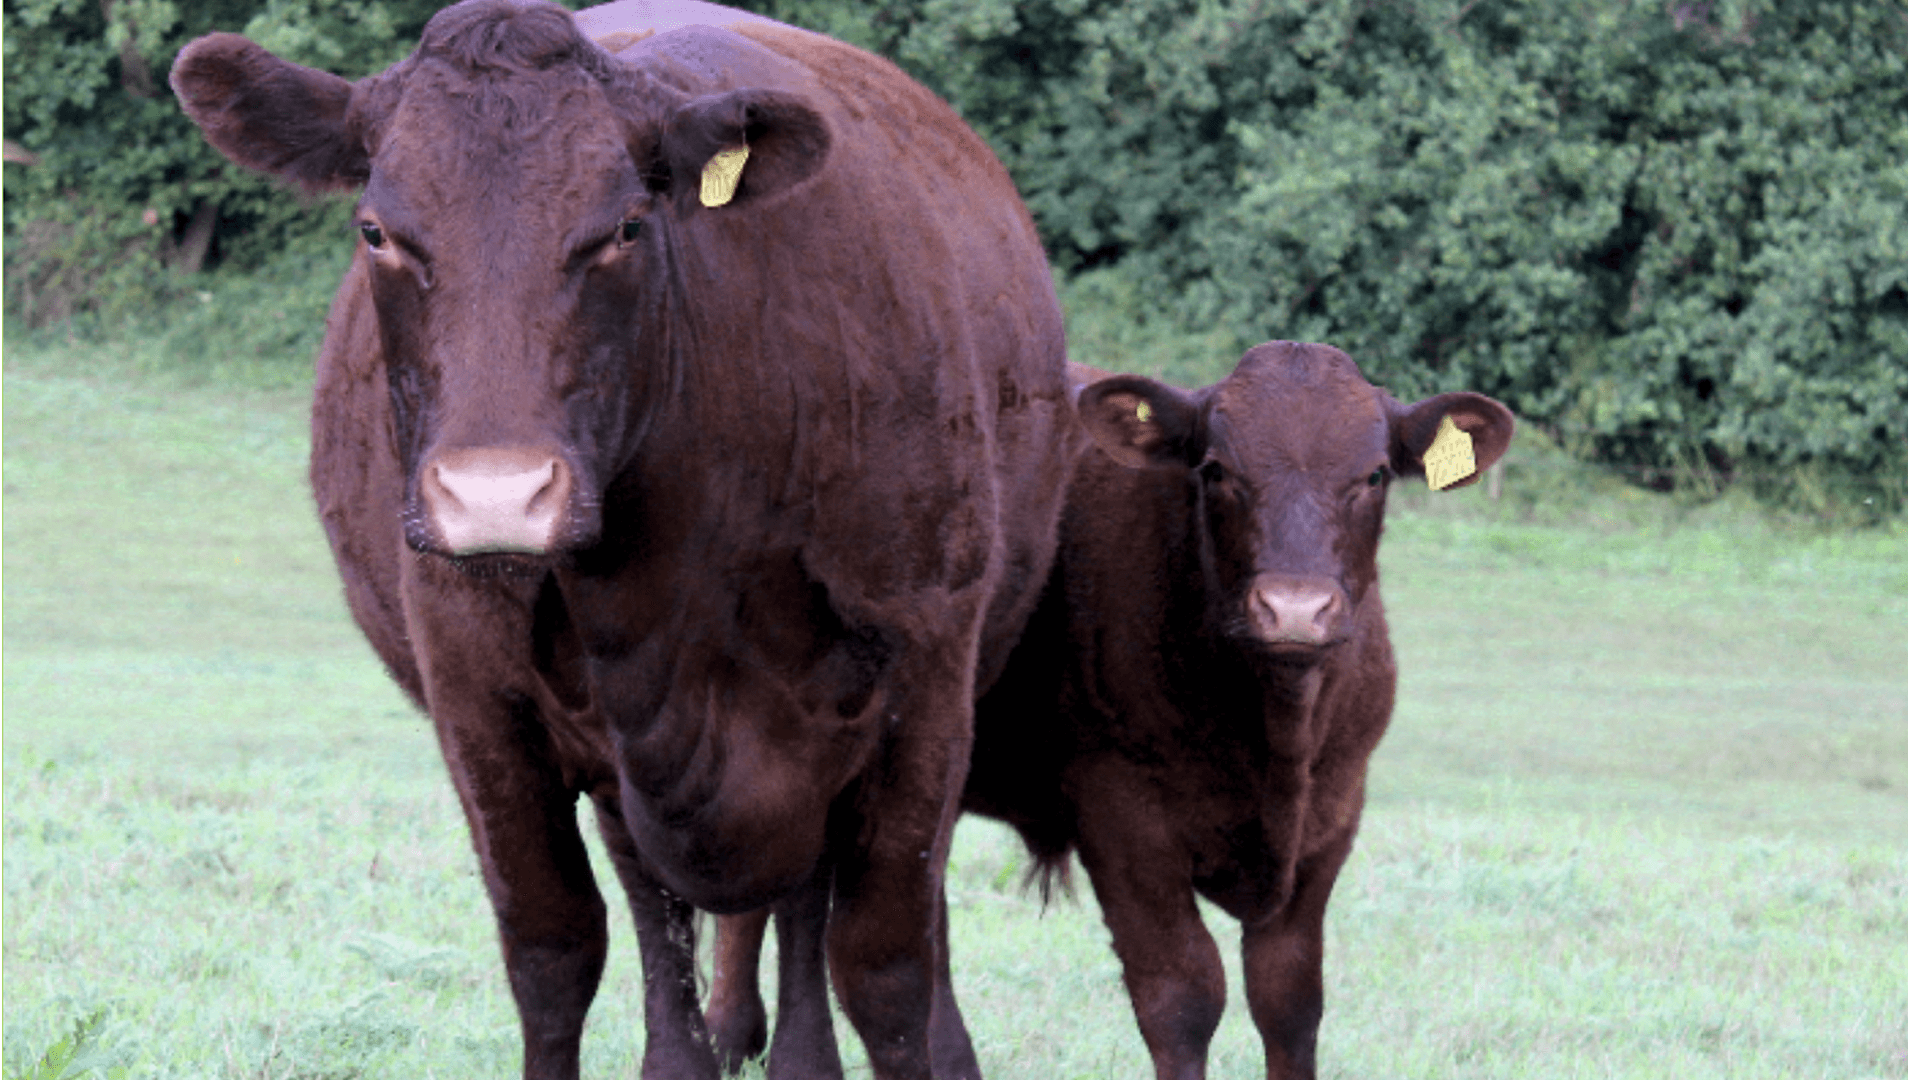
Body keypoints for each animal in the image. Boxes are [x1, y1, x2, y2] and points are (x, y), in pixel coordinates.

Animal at [168, 2, 1078, 1078]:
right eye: (377, 231)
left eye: (624, 228)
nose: (496, 495)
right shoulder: (478, 695)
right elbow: (555, 947)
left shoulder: (923, 675)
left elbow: (884, 966)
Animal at [705, 342, 1515, 1080]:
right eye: (1215, 470)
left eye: (1373, 474)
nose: (1294, 608)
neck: (1274, 729)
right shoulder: (1123, 818)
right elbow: (1182, 996)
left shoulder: (1333, 816)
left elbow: (1289, 1002)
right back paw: (736, 1034)